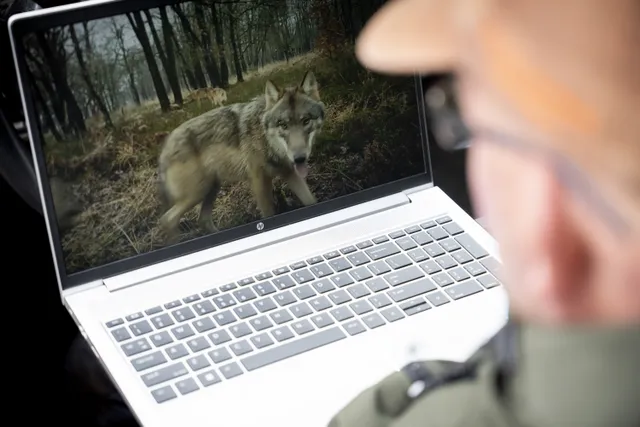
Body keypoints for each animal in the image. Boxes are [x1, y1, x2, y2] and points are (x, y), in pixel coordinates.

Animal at [158, 71, 325, 241]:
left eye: (306, 121)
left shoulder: (290, 173)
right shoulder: (259, 181)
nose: (299, 158)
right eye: (283, 125)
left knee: (202, 220)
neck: (265, 139)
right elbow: (268, 213)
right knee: (166, 220)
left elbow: (311, 200)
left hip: (211, 189)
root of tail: (164, 148)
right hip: (197, 193)